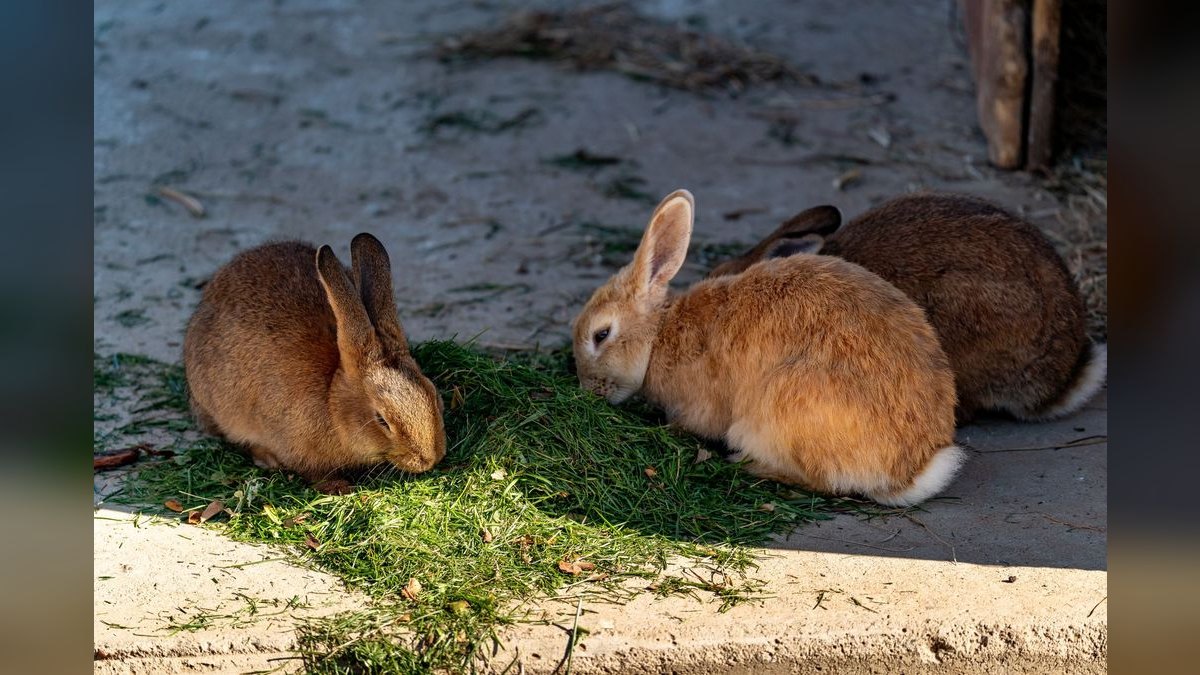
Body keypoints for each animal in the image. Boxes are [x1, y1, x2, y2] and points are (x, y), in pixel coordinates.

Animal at [572, 190, 963, 507]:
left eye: (601, 335)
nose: (587, 389)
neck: (659, 335)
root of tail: (910, 472)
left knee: (822, 482)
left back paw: (747, 465)